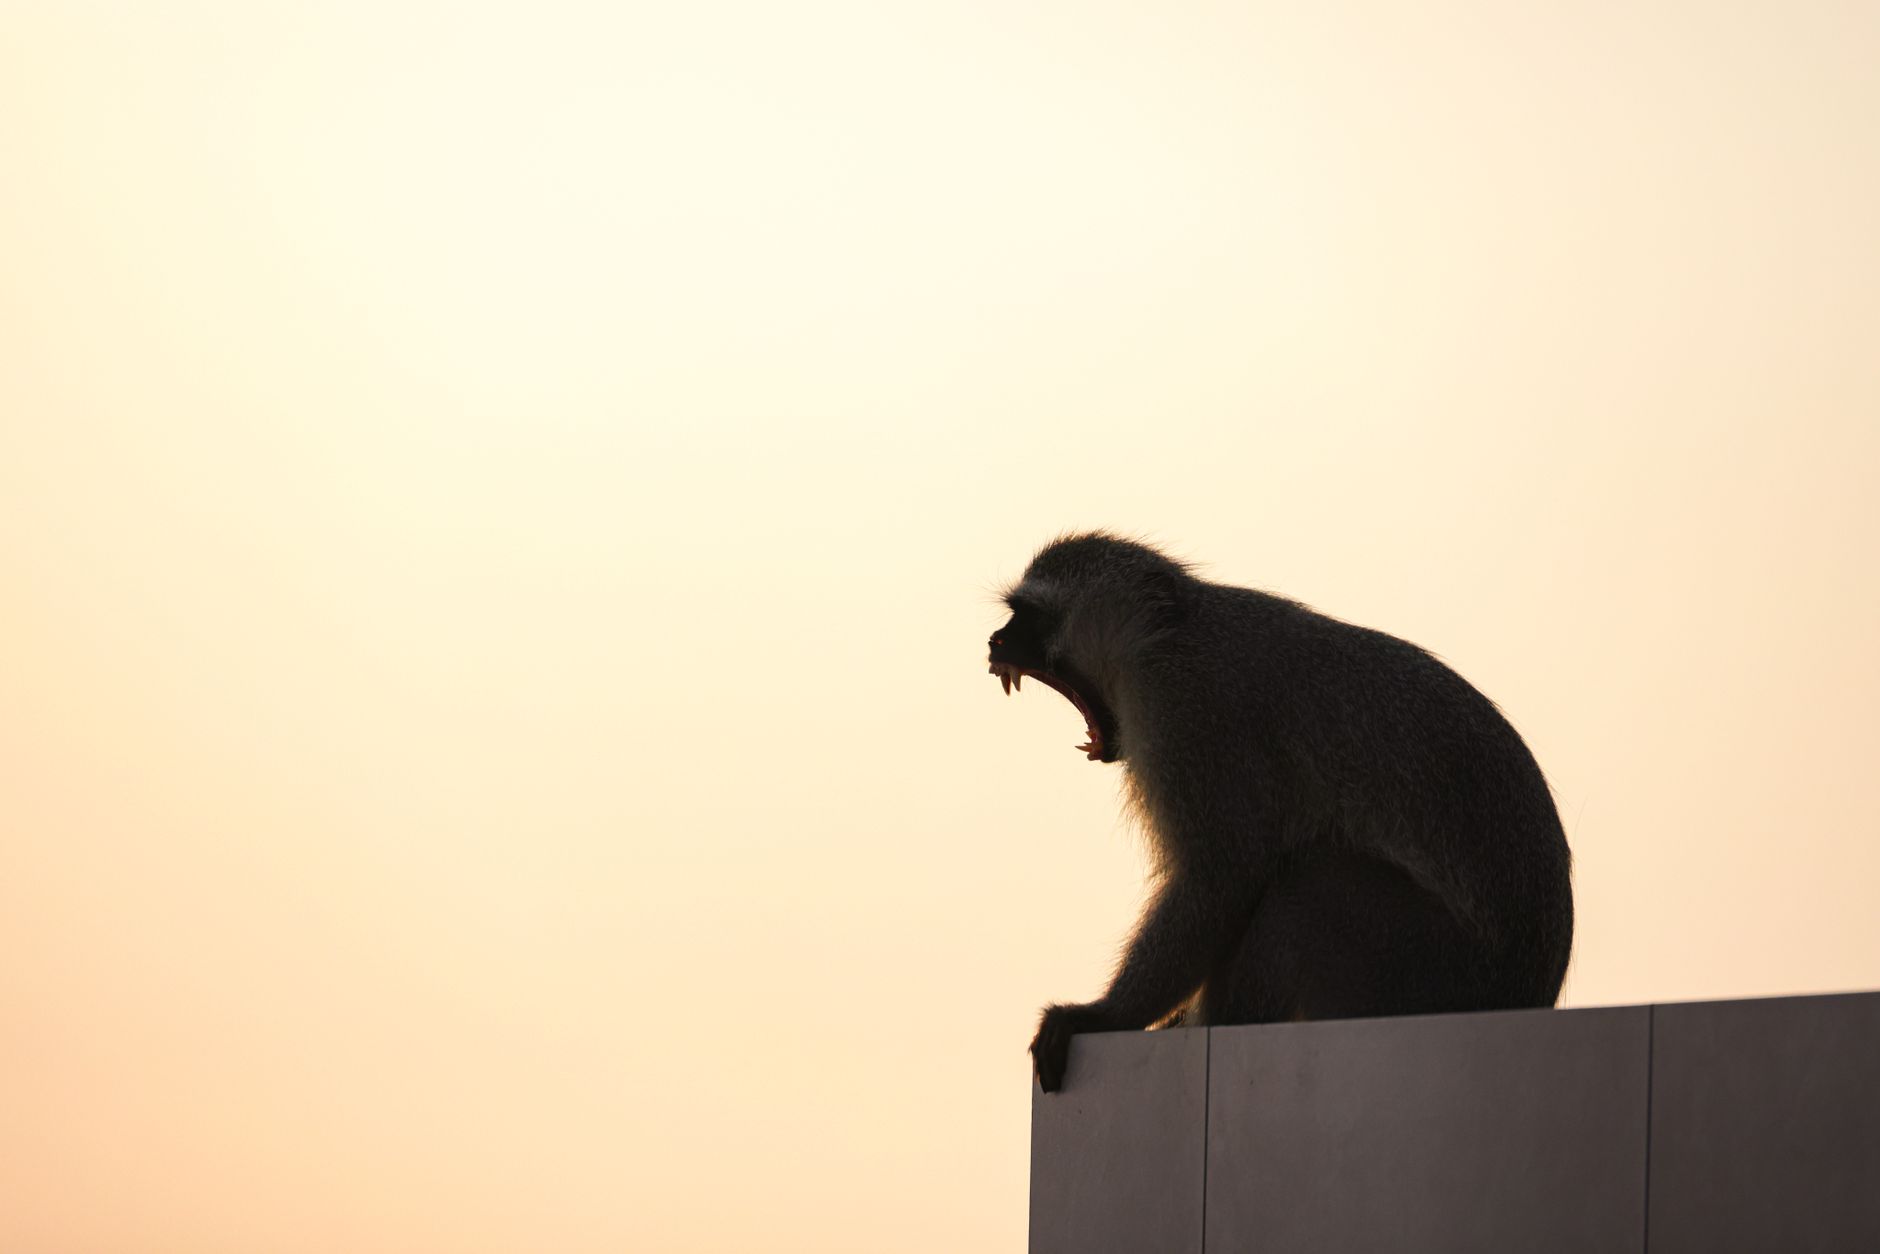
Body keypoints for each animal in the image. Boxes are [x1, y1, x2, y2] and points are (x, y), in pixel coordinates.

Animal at [987, 533, 1574, 1093]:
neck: (1170, 633)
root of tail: (1527, 992)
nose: (997, 641)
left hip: (1426, 968)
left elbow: (1220, 878)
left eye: (1031, 616)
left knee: (1308, 885)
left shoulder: (1187, 711)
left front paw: (1103, 1016)